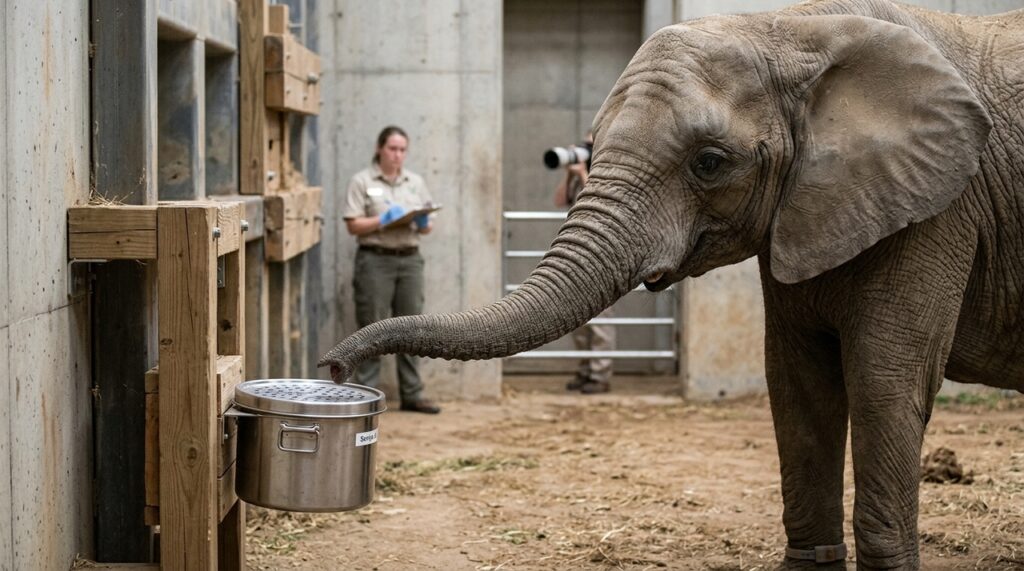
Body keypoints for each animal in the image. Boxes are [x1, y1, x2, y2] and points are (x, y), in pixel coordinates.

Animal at [321, 0, 1024, 568]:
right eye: (590, 146)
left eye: (710, 163)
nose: (333, 367)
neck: (794, 27)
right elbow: (797, 385)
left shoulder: (942, 208)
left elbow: (884, 380)